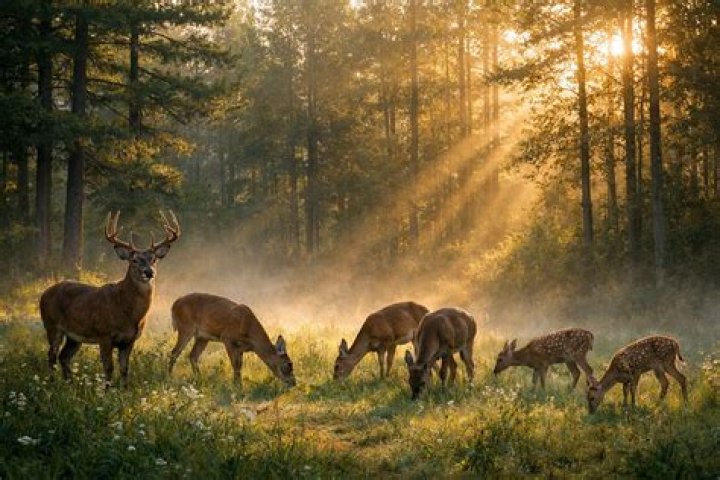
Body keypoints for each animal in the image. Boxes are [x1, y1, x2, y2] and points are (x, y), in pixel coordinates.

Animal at [40, 211, 180, 387]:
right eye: (134, 260)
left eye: (154, 259)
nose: (149, 272)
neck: (127, 312)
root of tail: (44, 294)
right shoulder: (104, 335)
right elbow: (109, 368)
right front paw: (107, 390)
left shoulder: (129, 340)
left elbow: (125, 369)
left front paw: (124, 389)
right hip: (51, 325)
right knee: (51, 355)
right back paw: (52, 384)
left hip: (74, 336)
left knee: (64, 357)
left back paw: (69, 385)